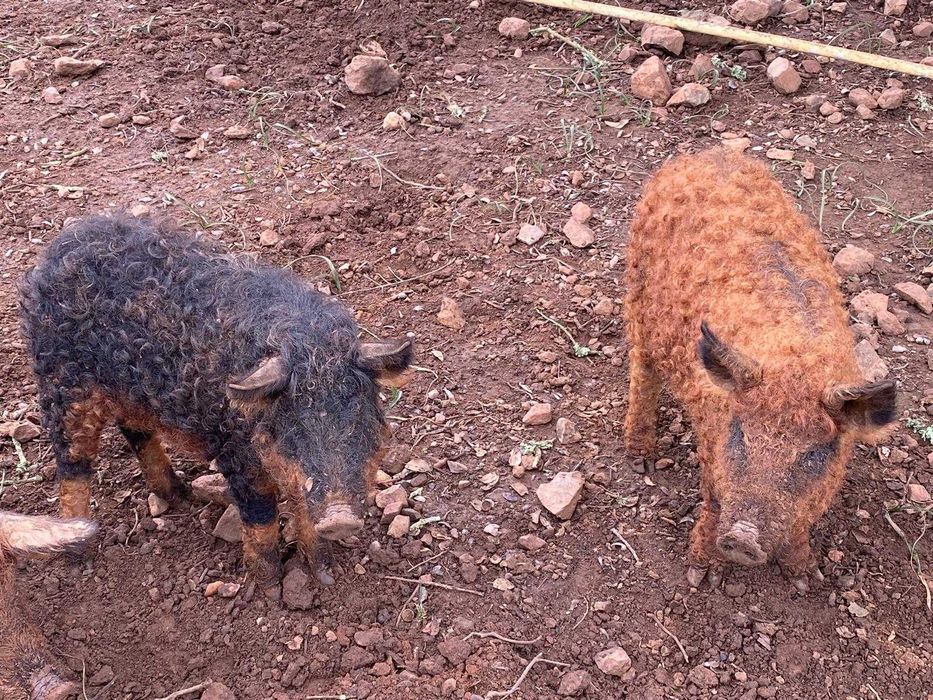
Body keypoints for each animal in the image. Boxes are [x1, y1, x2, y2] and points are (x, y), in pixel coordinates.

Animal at [20, 215, 413, 585]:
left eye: (360, 417)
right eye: (295, 428)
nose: (340, 518)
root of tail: (57, 246)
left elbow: (304, 513)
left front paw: (326, 575)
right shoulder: (234, 450)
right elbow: (260, 515)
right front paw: (268, 586)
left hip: (133, 392)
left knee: (136, 432)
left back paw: (183, 495)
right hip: (62, 385)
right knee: (72, 465)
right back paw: (79, 556)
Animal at [624, 149, 896, 590]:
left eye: (814, 453)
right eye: (741, 433)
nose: (743, 538)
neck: (797, 363)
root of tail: (701, 155)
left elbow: (801, 525)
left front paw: (806, 578)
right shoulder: (712, 447)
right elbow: (714, 502)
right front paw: (700, 575)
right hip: (638, 291)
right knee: (642, 370)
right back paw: (640, 459)